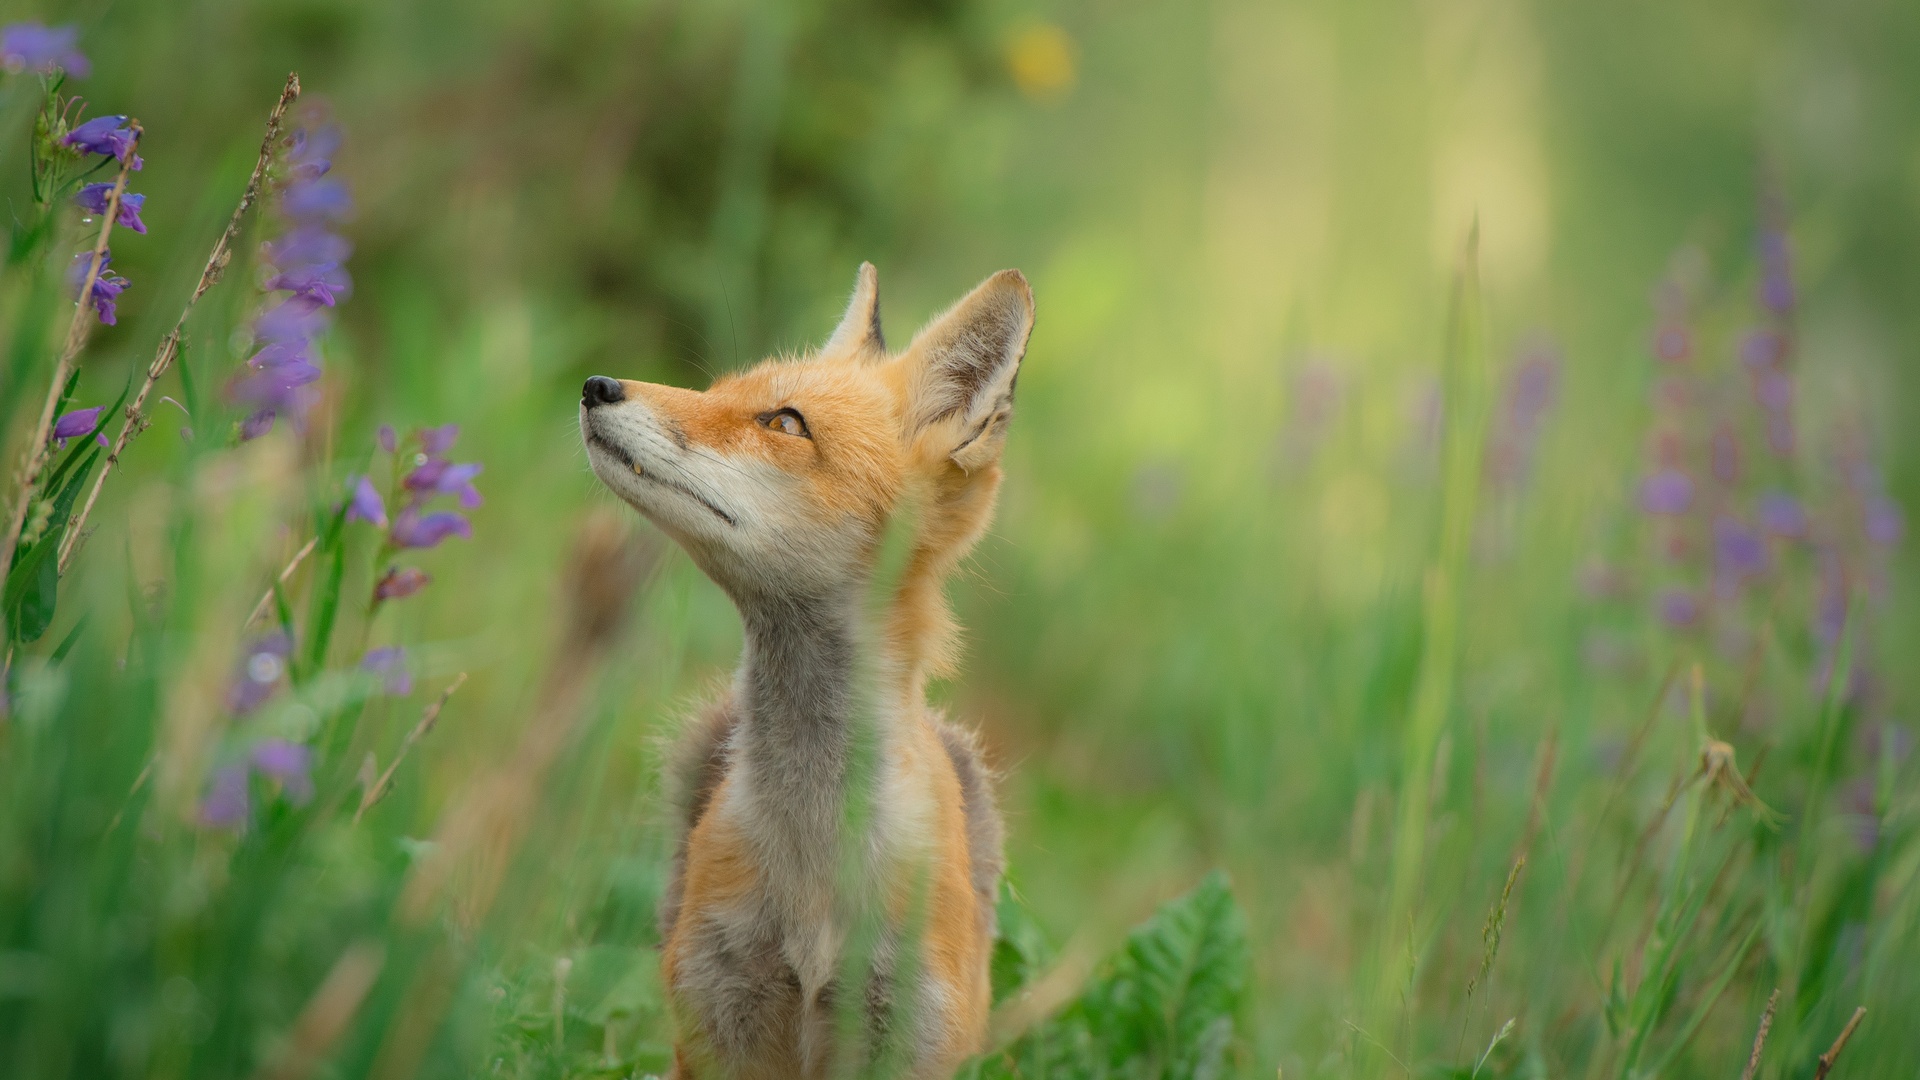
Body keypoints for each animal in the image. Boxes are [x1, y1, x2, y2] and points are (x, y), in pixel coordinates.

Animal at [576, 263, 1036, 1076]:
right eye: (716, 391)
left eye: (784, 423)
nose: (597, 385)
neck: (814, 867)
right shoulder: (722, 1015)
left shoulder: (909, 1032)